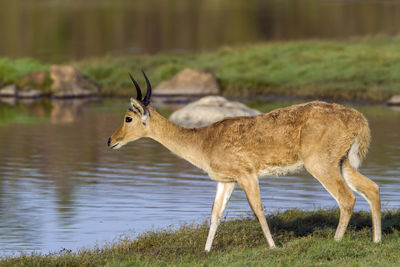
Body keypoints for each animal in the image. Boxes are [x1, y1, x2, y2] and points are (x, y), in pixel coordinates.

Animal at [107, 71, 382, 253]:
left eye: (128, 118)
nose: (110, 140)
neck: (204, 141)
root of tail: (358, 118)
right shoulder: (226, 181)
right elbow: (215, 214)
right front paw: (206, 251)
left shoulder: (247, 175)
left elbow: (257, 209)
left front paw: (273, 247)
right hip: (342, 163)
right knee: (372, 189)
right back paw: (377, 240)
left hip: (321, 165)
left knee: (346, 198)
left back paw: (336, 241)